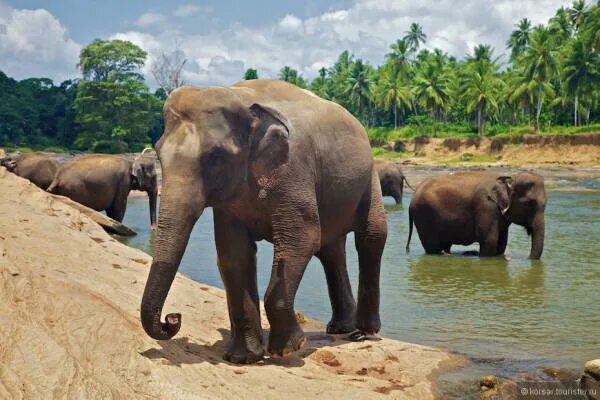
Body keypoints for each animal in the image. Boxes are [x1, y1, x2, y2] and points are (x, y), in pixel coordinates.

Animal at [141, 79, 386, 364]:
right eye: (159, 155)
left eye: (215, 157)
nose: (172, 318)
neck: (241, 98)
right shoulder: (231, 204)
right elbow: (234, 255)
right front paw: (243, 358)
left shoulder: (293, 168)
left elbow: (302, 240)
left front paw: (287, 350)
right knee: (331, 250)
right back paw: (339, 328)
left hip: (370, 179)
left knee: (370, 238)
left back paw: (363, 333)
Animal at [406, 171, 548, 260]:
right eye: (530, 204)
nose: (527, 259)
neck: (510, 178)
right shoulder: (486, 206)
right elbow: (489, 241)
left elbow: (501, 243)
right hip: (423, 216)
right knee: (432, 247)